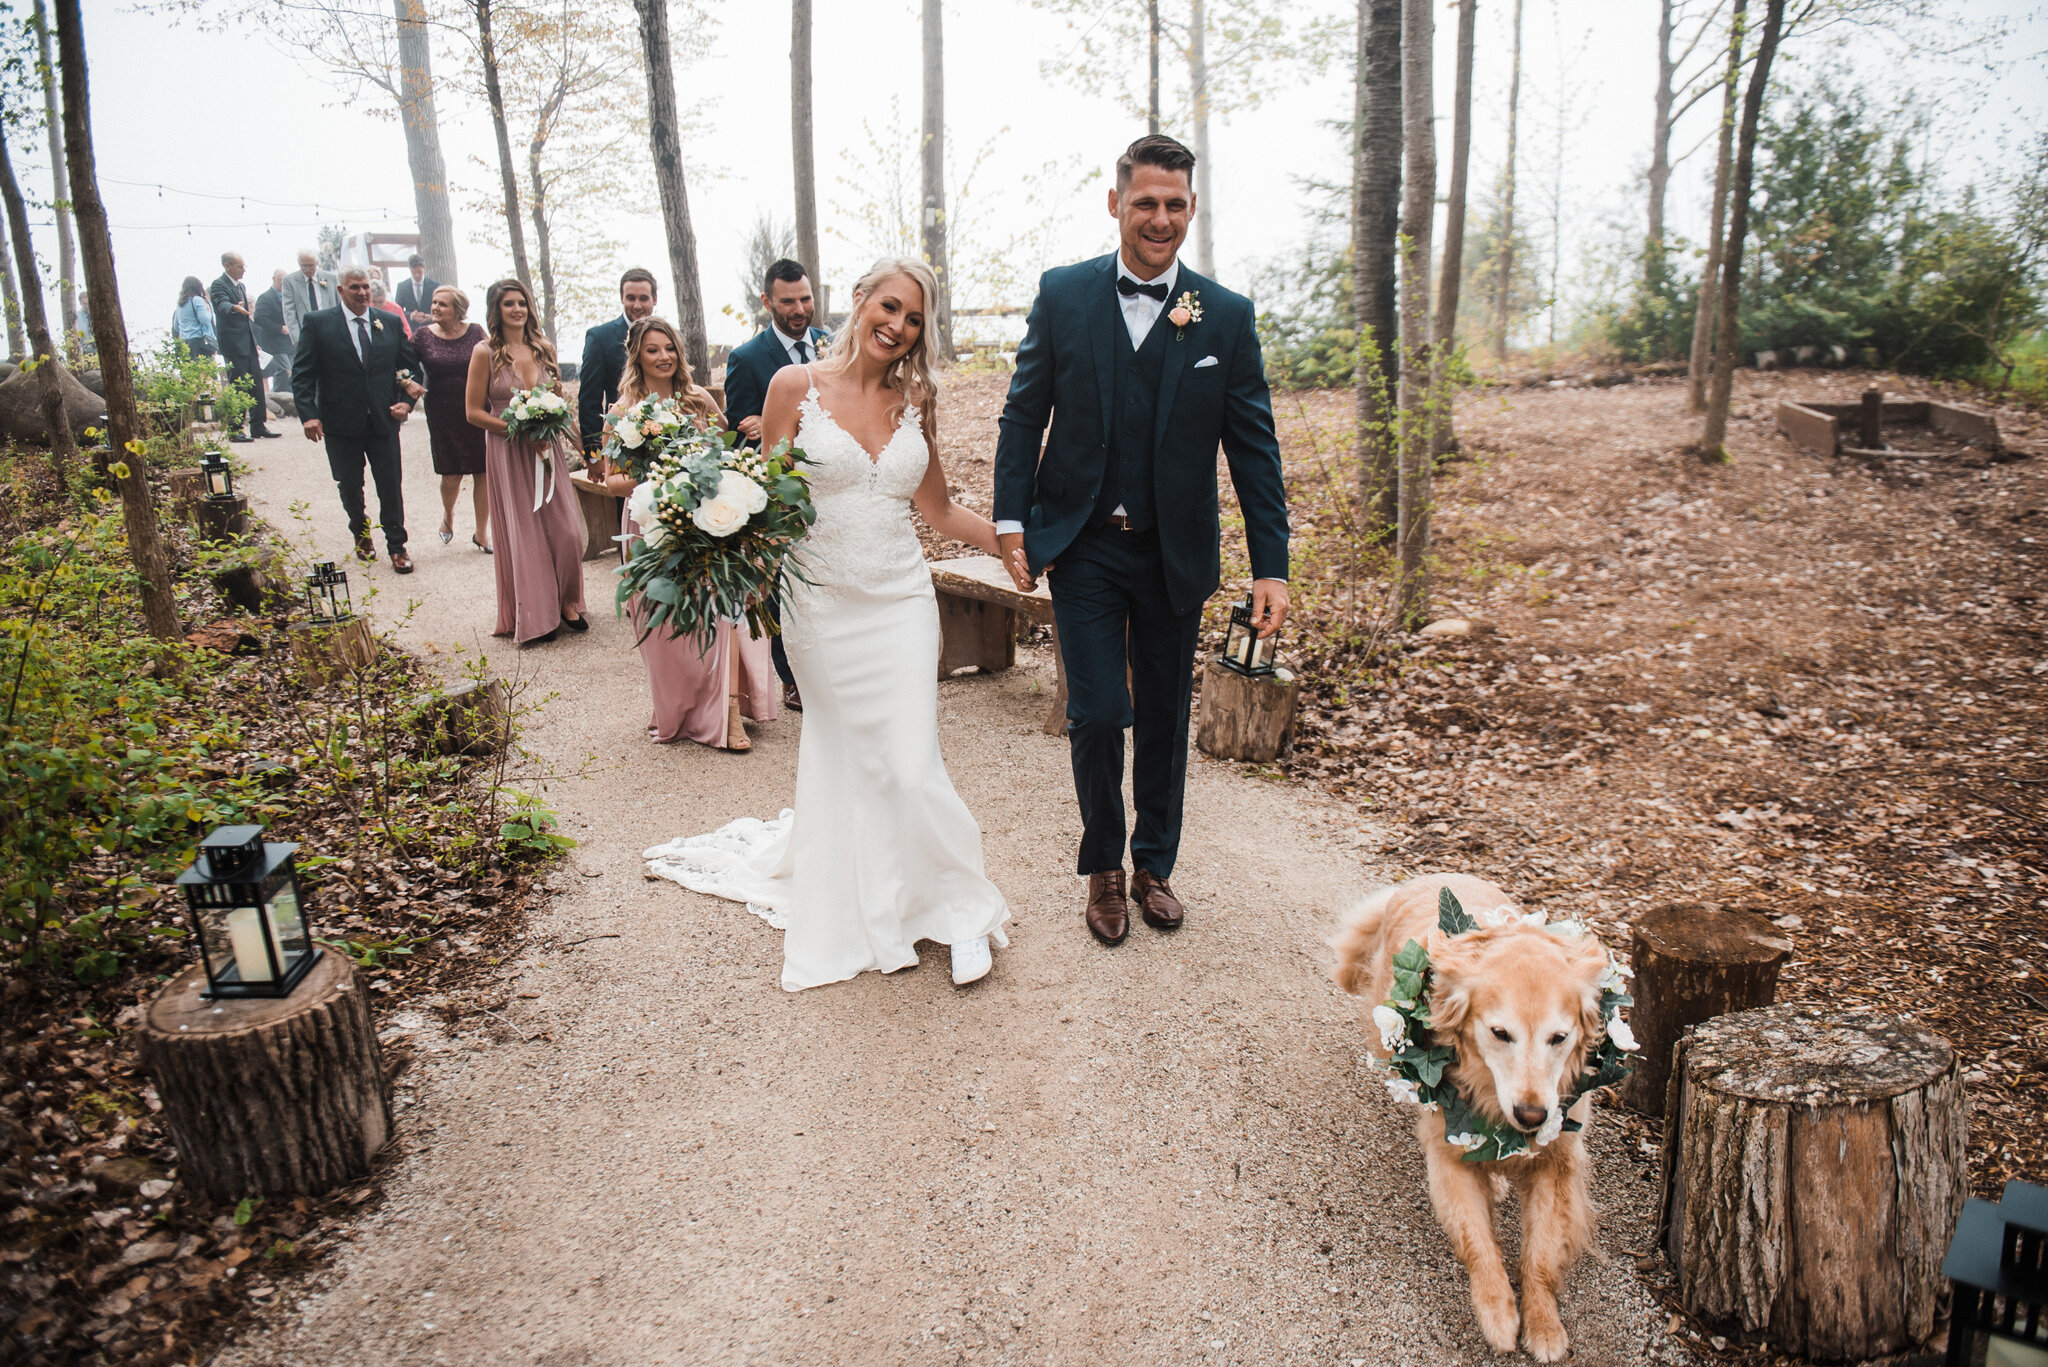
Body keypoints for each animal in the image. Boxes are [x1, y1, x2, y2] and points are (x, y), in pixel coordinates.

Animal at [1335, 877, 1622, 1360]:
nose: (1532, 1115)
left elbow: (1541, 1252)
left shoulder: (1556, 1161)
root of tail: (1430, 876)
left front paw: (1544, 1324)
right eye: (1499, 1033)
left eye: (1559, 1038)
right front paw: (1497, 1313)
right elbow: (1477, 1242)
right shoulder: (1449, 1154)